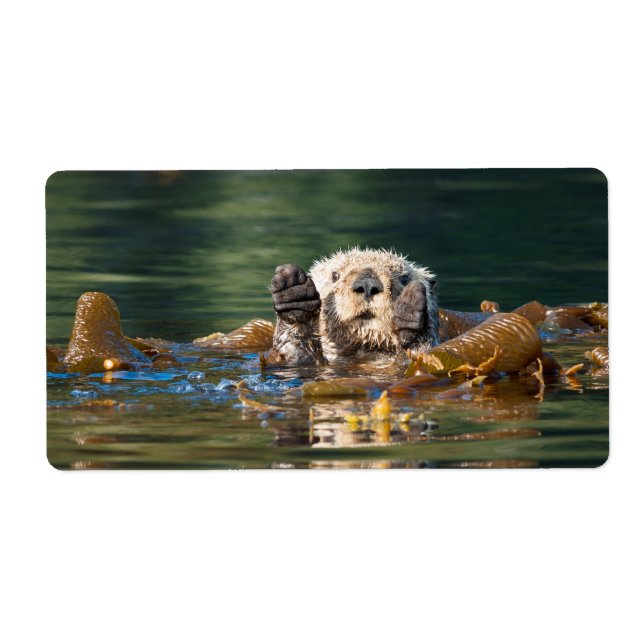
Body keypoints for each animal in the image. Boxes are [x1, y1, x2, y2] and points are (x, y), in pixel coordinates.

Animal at [267, 248, 440, 366]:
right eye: (335, 275)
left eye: (404, 278)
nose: (368, 284)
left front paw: (409, 313)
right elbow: (294, 352)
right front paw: (293, 293)